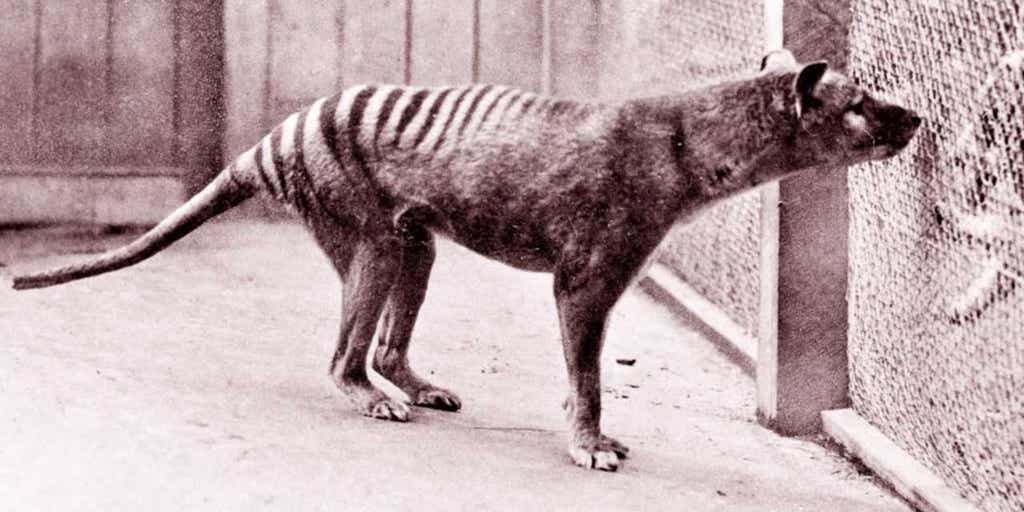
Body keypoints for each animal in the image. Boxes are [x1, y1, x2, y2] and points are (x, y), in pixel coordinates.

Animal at [10, 49, 921, 471]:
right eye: (860, 104)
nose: (915, 118)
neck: (687, 142)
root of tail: (274, 138)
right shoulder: (587, 276)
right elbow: (588, 373)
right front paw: (589, 443)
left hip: (413, 240)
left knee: (385, 343)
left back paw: (413, 385)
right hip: (372, 237)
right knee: (344, 356)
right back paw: (373, 400)